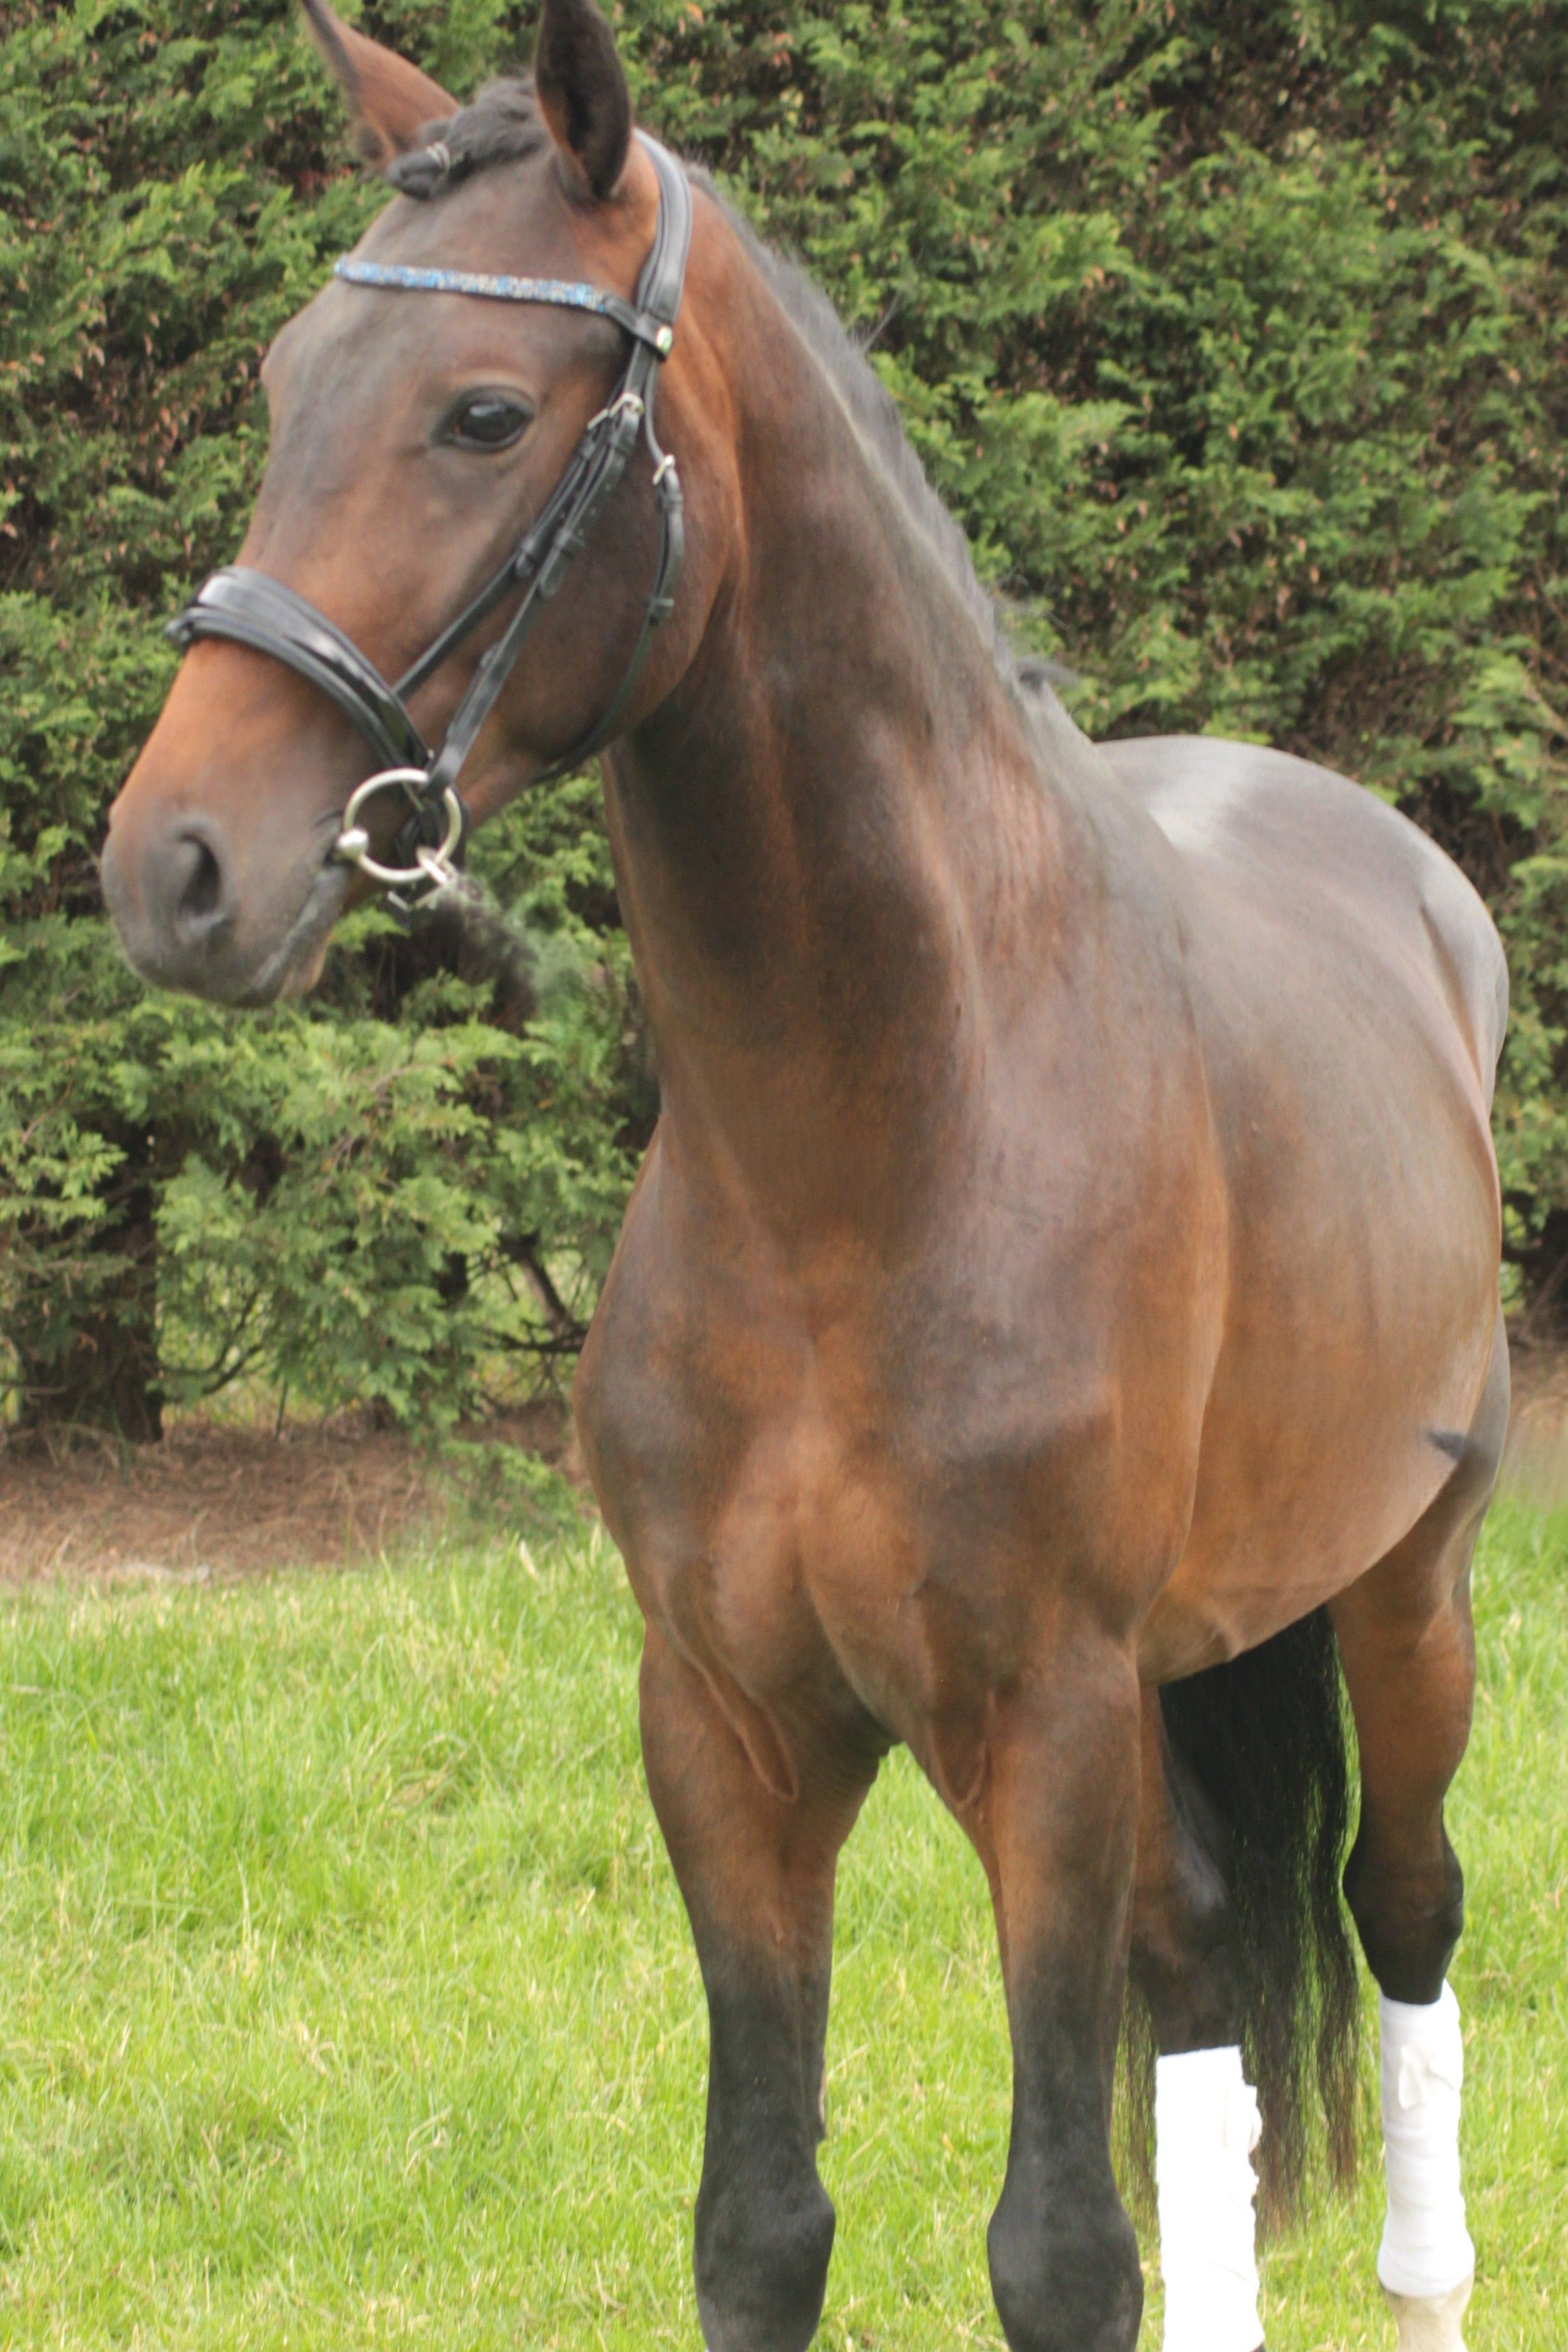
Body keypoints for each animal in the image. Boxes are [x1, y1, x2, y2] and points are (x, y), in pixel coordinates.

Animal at [101, 5, 1506, 2347]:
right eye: (291, 381)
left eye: (485, 412)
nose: (174, 868)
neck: (875, 1149)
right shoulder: (730, 1731)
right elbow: (764, 2222)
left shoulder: (1043, 1729)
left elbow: (1061, 2249)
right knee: (1207, 1974)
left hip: (1404, 1600)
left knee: (1400, 1921)